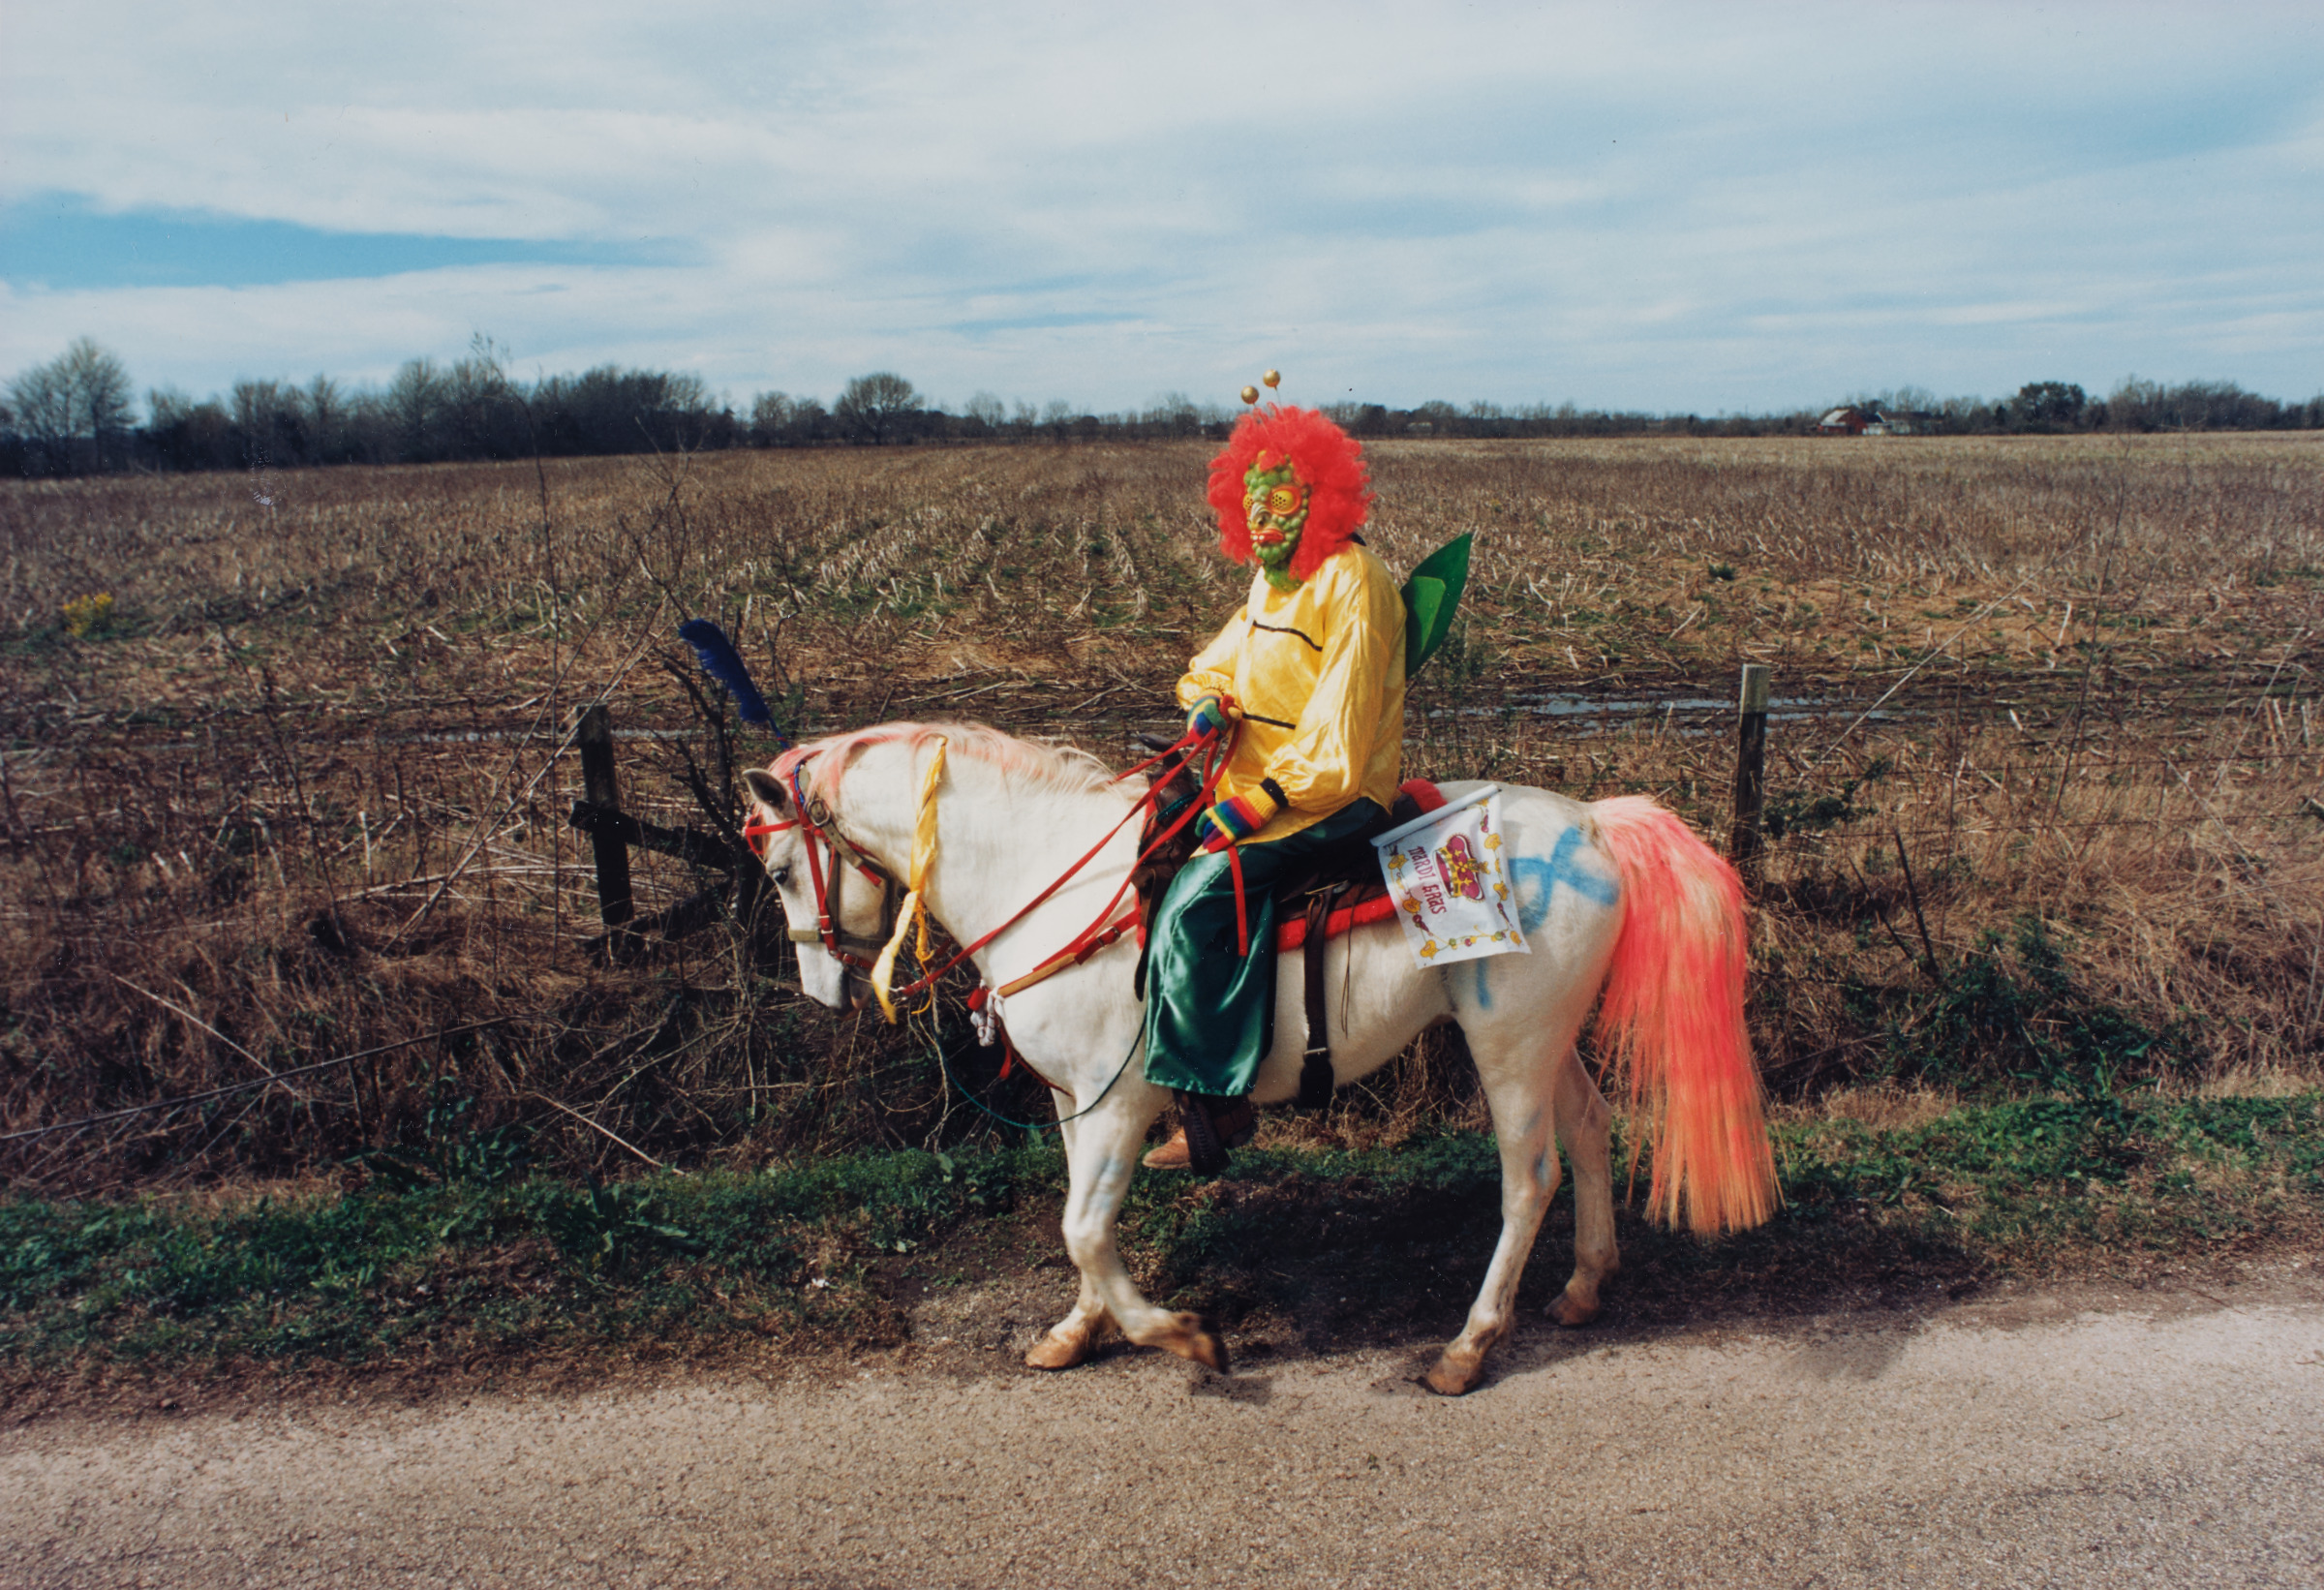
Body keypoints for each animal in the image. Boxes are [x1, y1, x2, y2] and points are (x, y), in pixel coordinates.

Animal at [741, 721, 1777, 1396]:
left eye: (784, 870)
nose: (822, 993)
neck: (1051, 880)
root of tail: (1594, 824)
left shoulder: (1122, 1102)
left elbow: (1085, 1228)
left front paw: (1183, 1337)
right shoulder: (1079, 1100)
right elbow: (1079, 1226)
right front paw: (1077, 1331)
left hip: (1508, 1042)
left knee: (1530, 1177)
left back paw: (1468, 1348)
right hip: (1548, 1036)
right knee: (1593, 1133)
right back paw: (1583, 1289)